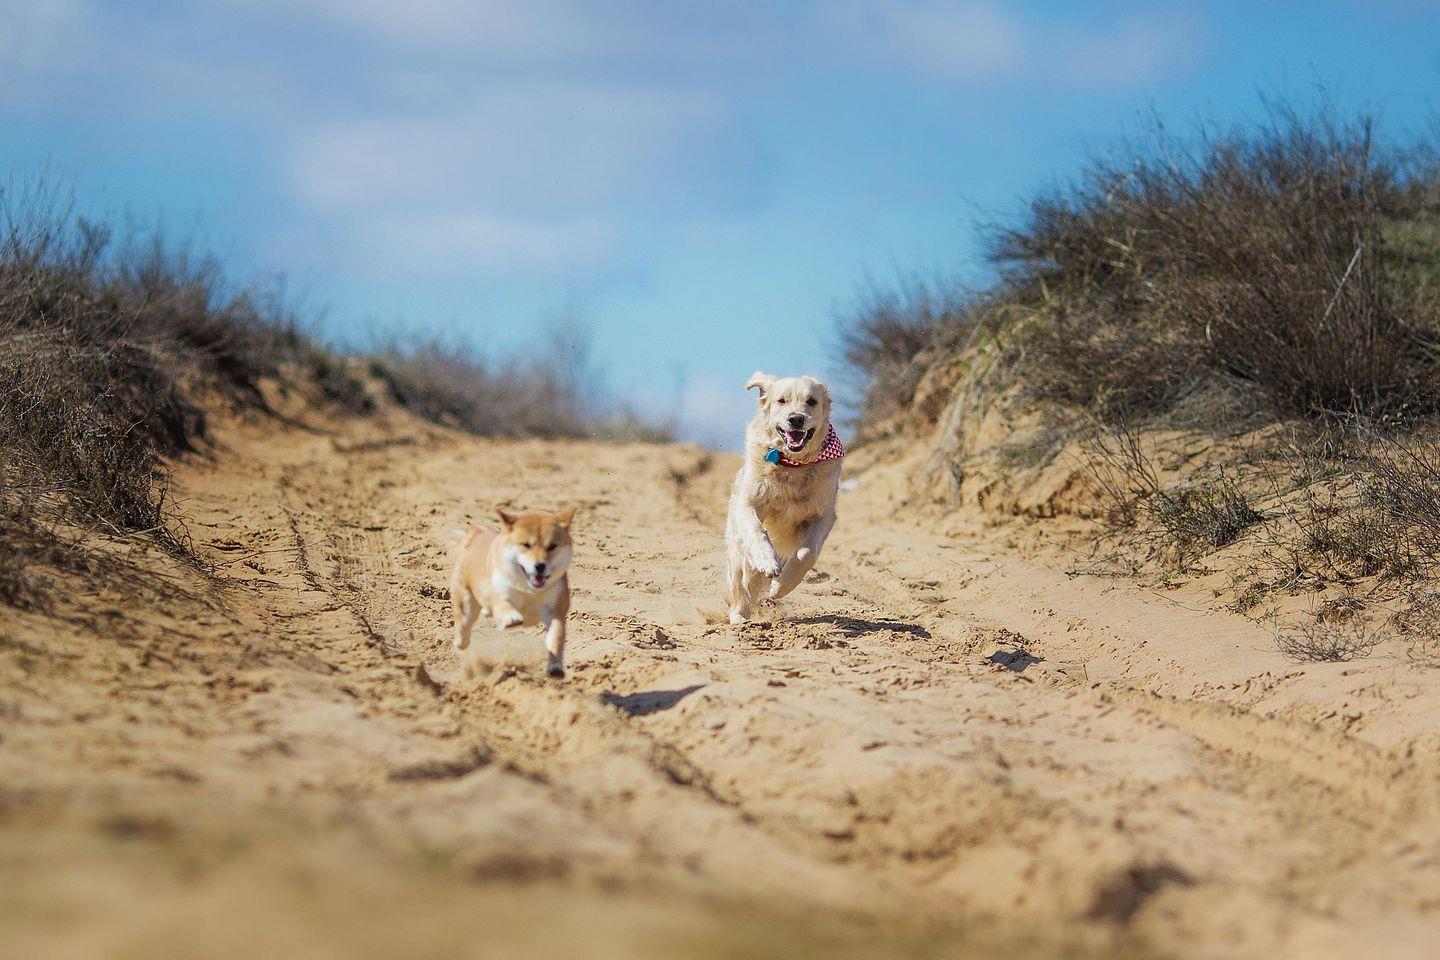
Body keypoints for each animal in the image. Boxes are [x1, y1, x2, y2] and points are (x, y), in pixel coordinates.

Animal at [450, 507, 577, 678]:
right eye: (526, 545)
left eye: (552, 546)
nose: (540, 566)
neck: (530, 590)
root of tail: (476, 534)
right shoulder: (501, 593)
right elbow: (504, 606)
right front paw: (511, 619)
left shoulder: (555, 610)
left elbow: (556, 638)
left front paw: (555, 667)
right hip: (466, 604)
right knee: (464, 626)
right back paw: (460, 642)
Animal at [724, 371, 844, 624]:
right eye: (781, 401)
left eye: (812, 401)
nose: (796, 419)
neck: (793, 465)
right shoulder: (749, 503)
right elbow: (757, 532)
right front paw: (768, 562)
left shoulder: (824, 513)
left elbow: (807, 553)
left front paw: (781, 586)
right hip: (736, 547)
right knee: (740, 582)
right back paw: (739, 616)